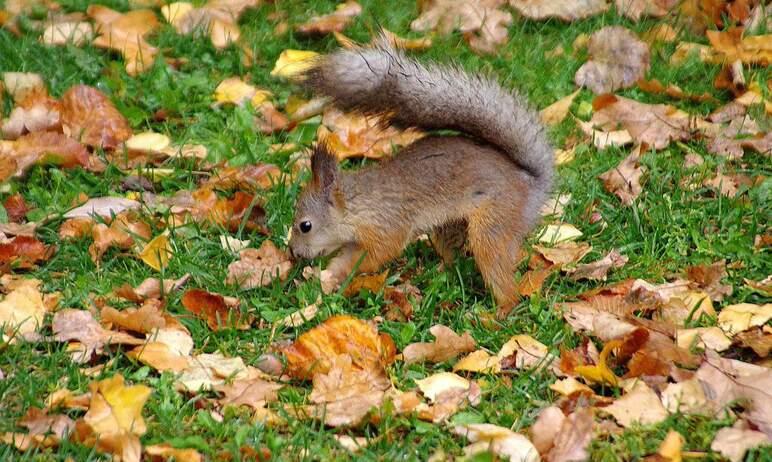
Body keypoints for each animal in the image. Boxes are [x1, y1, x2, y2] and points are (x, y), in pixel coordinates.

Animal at [286, 37, 552, 318]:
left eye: (305, 225)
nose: (293, 252)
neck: (359, 204)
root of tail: (530, 183)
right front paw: (324, 277)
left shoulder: (387, 226)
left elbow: (375, 255)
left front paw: (339, 273)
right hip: (449, 228)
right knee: (453, 257)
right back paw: (439, 272)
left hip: (493, 226)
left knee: (503, 279)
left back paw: (498, 312)